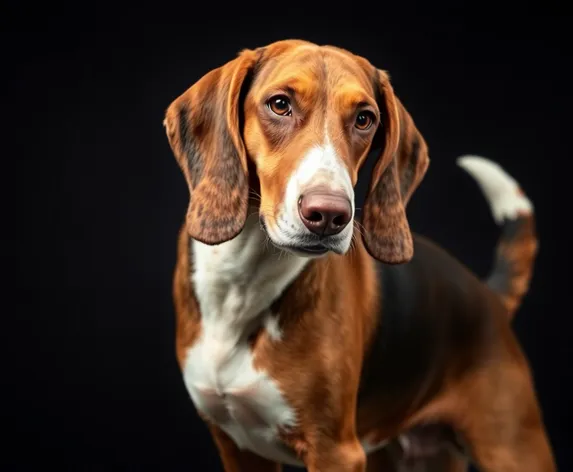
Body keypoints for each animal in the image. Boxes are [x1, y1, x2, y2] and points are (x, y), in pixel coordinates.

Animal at [162, 38, 556, 470]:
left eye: (365, 119)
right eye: (279, 104)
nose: (329, 215)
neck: (243, 283)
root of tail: (488, 297)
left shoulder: (334, 449)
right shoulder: (238, 447)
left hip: (513, 447)